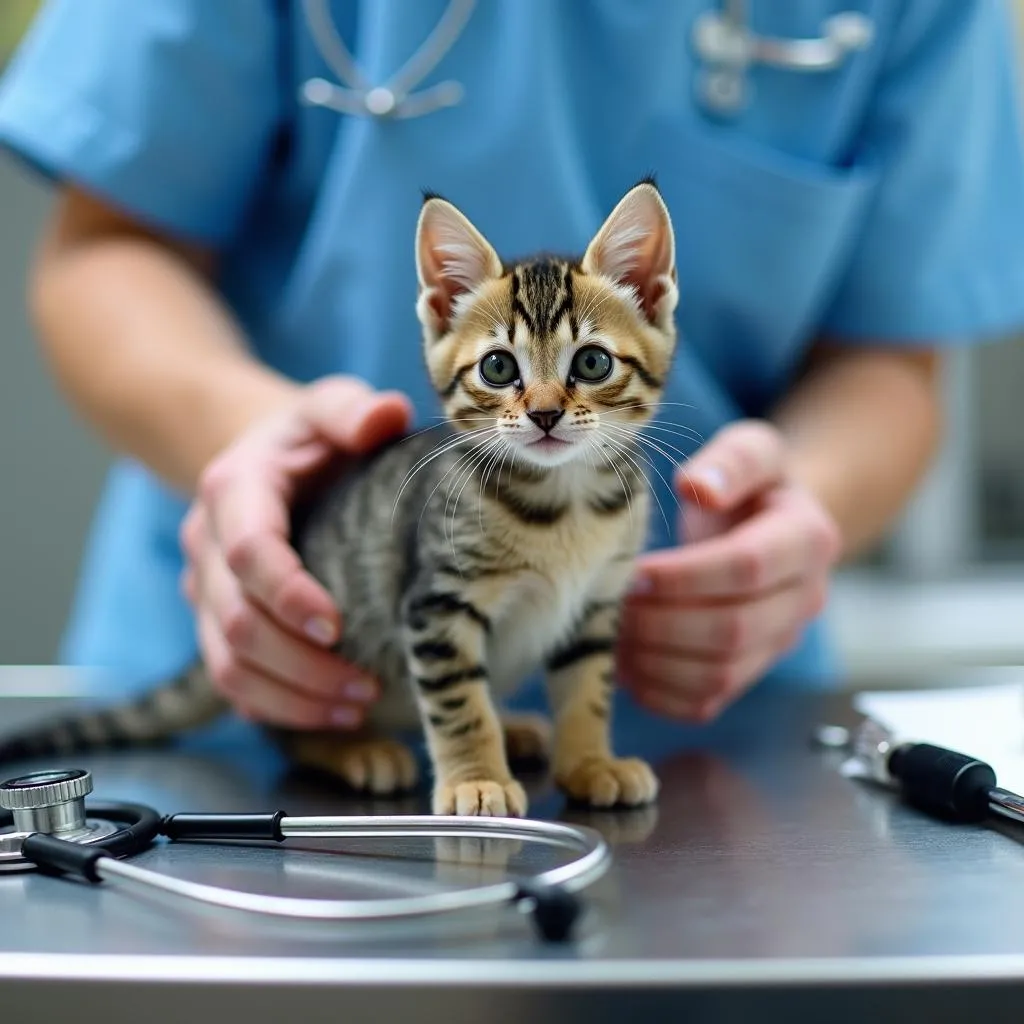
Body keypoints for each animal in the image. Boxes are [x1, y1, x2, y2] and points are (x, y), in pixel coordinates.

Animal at [0, 176, 679, 815]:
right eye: (498, 368)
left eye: (591, 364)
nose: (542, 415)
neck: (565, 502)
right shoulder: (436, 604)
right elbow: (459, 703)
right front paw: (476, 780)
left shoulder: (595, 605)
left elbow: (587, 691)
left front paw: (590, 763)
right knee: (287, 728)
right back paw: (357, 751)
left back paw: (513, 728)